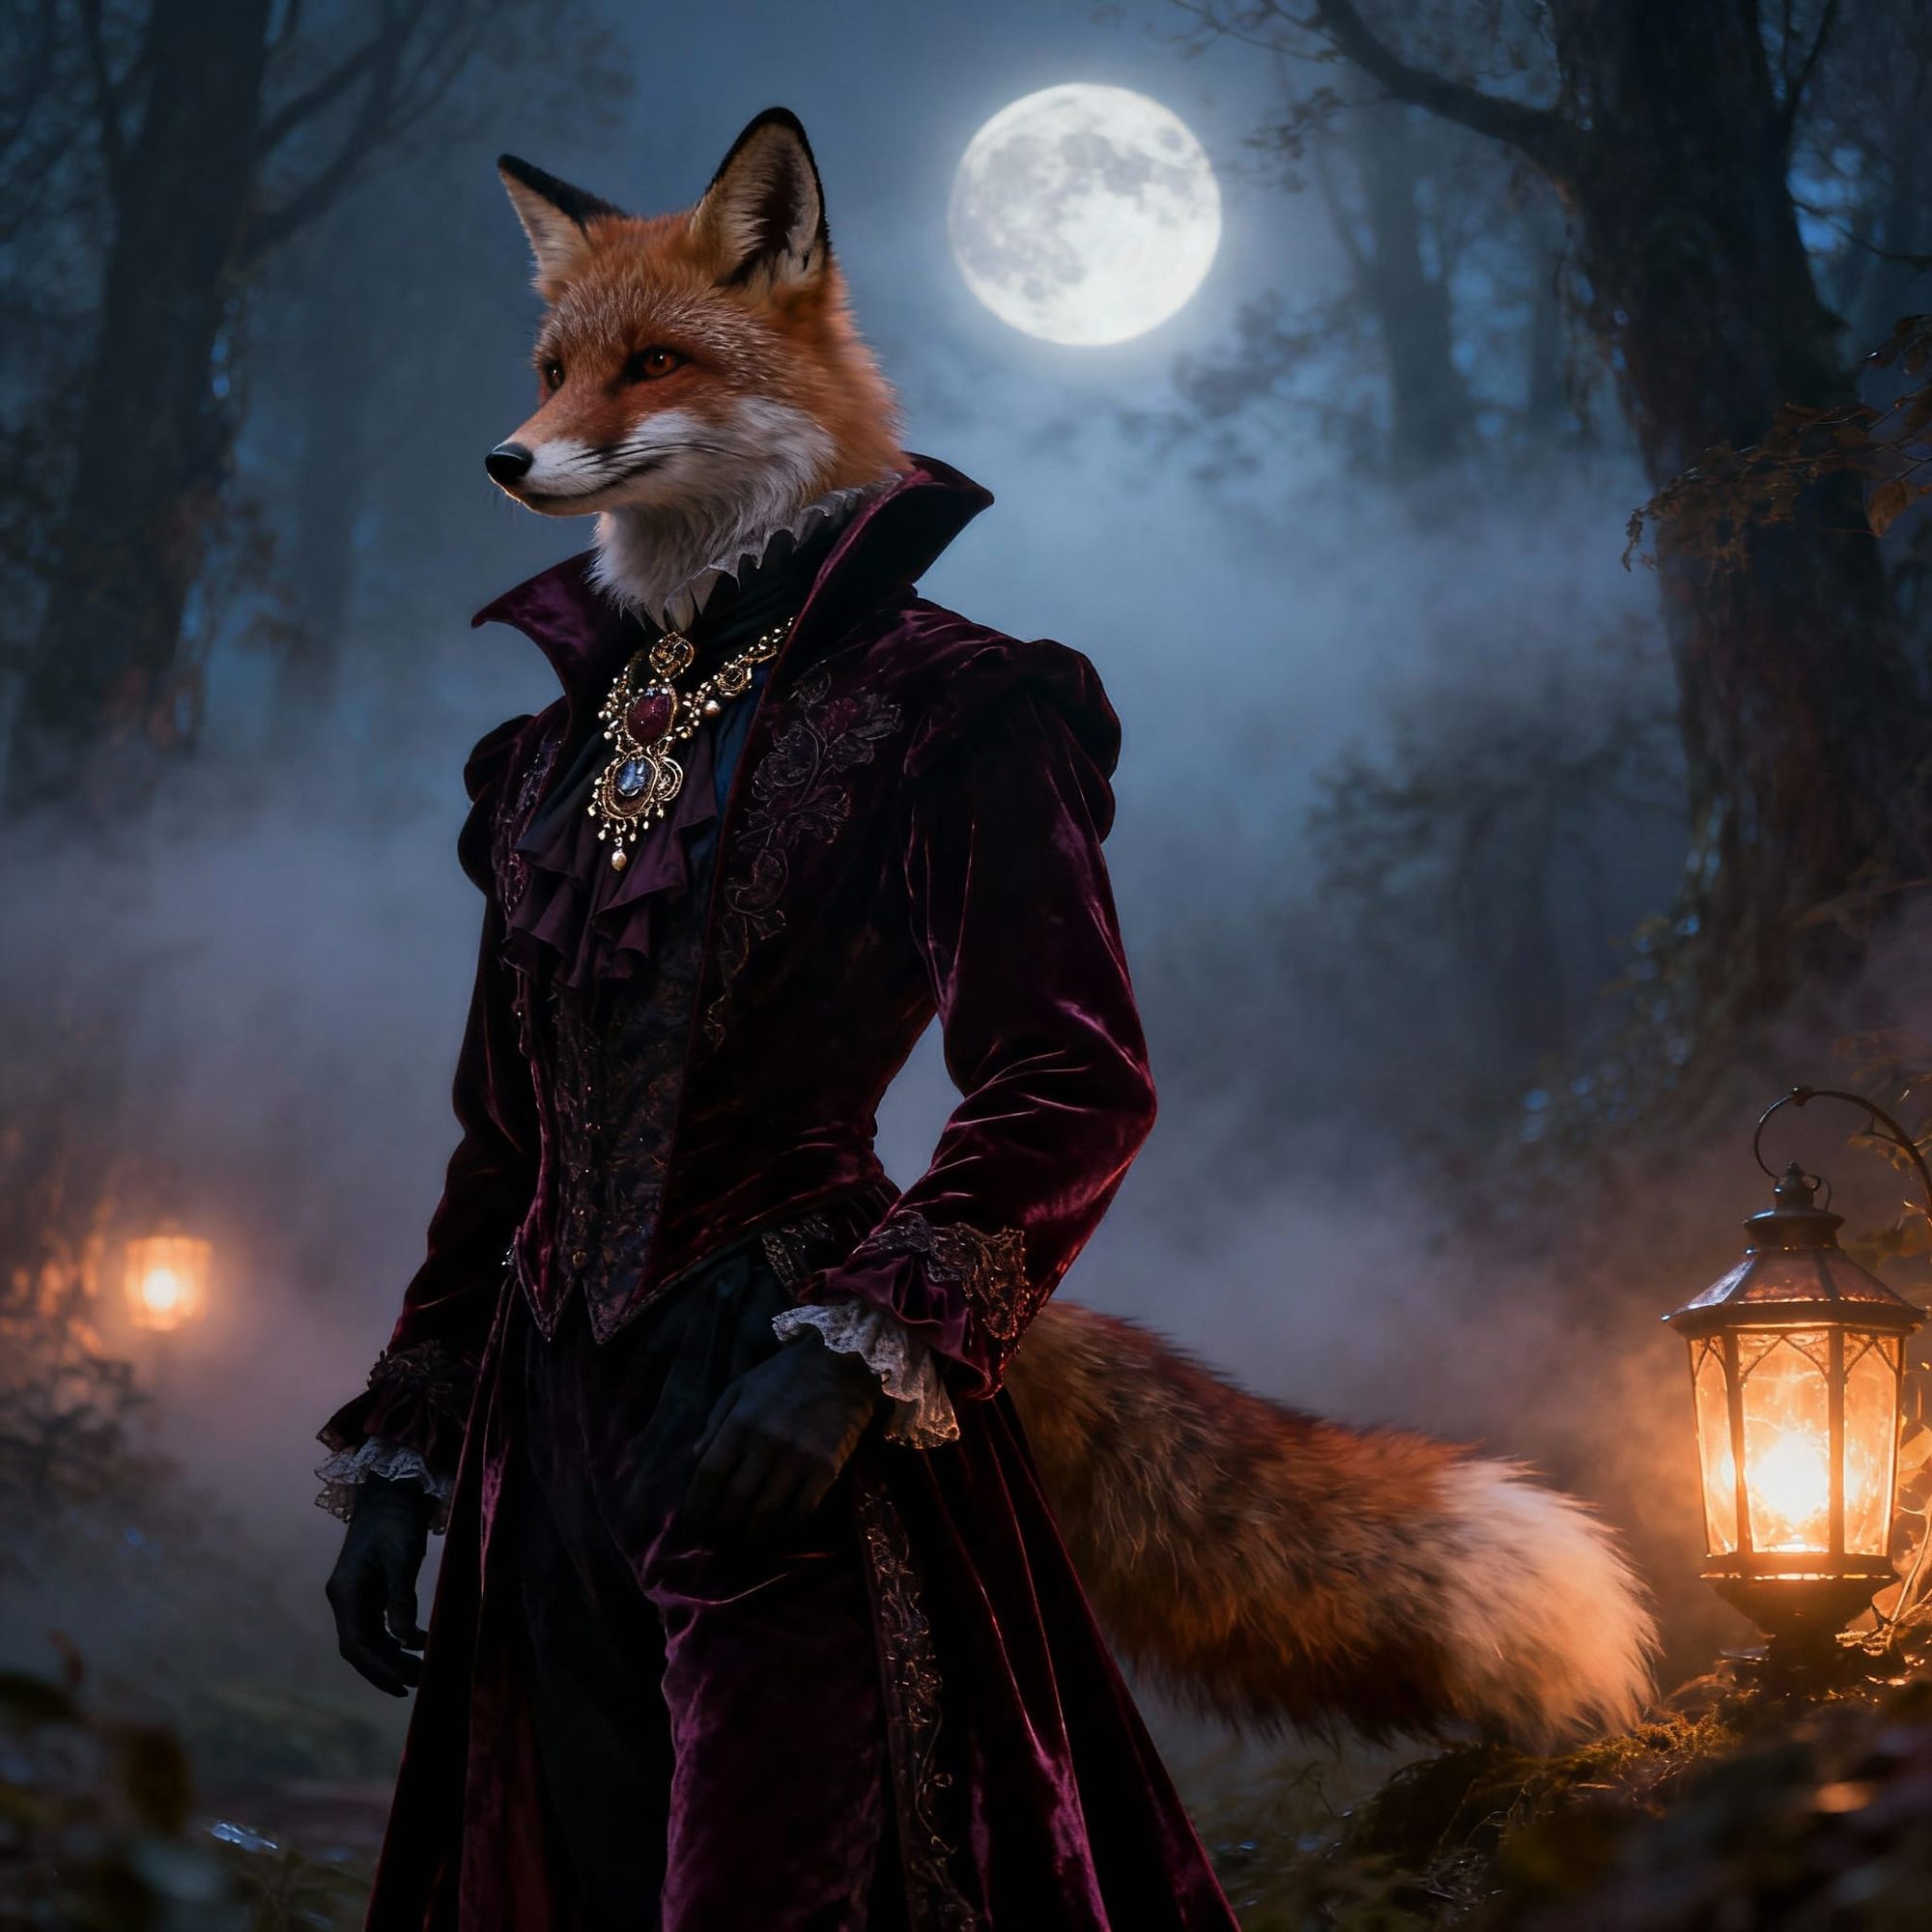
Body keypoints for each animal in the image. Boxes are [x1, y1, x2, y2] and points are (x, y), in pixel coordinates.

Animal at [484, 108, 1656, 1752]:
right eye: (550, 368)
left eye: (653, 363)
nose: (508, 458)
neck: (706, 645)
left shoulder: (1015, 758)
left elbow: (1063, 1064)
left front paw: (811, 1390)